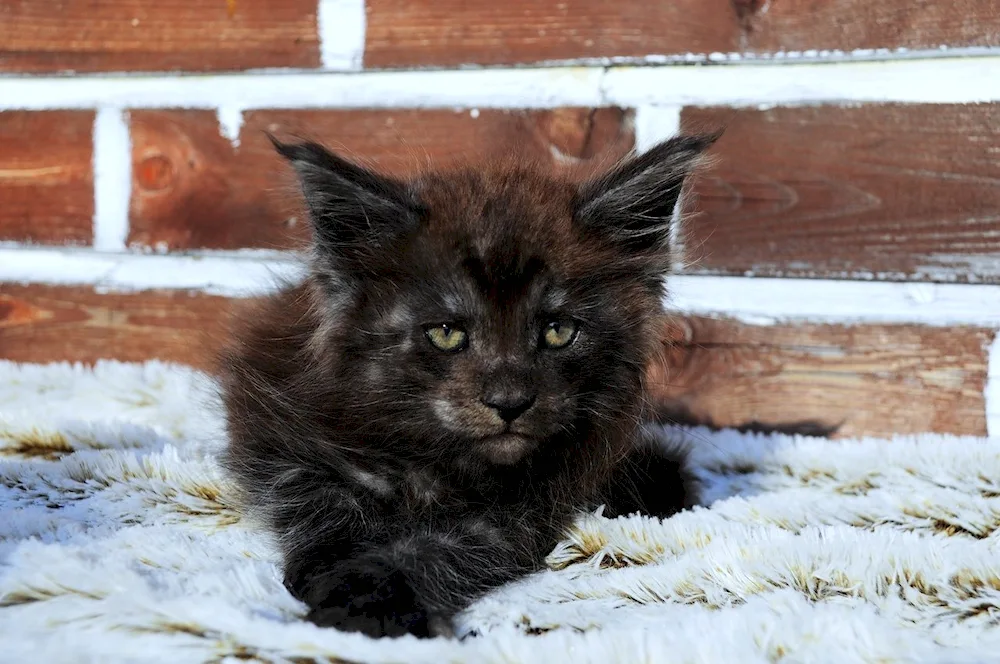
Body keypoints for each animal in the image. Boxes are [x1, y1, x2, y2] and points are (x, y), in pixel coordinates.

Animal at [222, 134, 716, 640]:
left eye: (558, 331)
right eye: (446, 333)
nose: (509, 402)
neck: (439, 464)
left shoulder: (515, 516)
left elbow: (432, 552)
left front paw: (365, 601)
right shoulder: (289, 445)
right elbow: (327, 504)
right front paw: (327, 571)